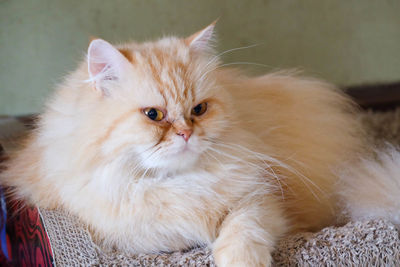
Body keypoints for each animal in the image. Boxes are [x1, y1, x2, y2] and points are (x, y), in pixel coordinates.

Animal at [0, 22, 400, 266]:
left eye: (199, 110)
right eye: (153, 115)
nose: (186, 134)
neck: (179, 181)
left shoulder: (262, 198)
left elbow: (243, 229)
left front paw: (240, 260)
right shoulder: (119, 226)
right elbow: (165, 232)